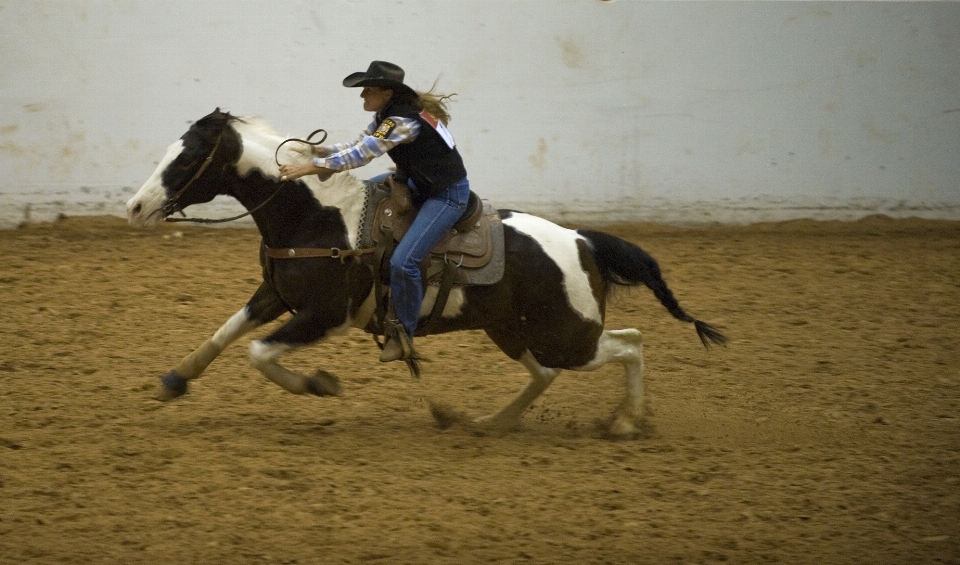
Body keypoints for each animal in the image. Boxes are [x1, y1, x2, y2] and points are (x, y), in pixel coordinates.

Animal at [124, 109, 724, 436]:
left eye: (185, 159)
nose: (134, 206)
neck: (318, 217)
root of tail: (582, 240)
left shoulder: (326, 315)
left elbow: (258, 352)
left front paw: (319, 383)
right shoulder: (275, 294)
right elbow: (225, 332)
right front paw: (175, 379)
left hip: (565, 335)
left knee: (630, 343)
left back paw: (625, 422)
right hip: (514, 330)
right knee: (551, 371)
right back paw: (488, 422)